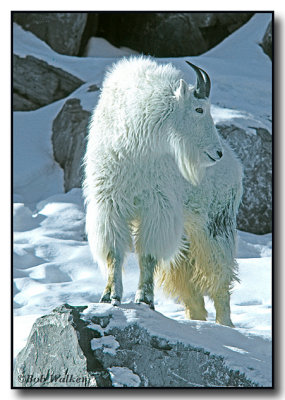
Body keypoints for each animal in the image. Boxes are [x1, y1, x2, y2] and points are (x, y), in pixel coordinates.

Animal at [82, 56, 242, 326]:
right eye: (199, 109)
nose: (217, 152)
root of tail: (236, 169)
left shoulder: (157, 206)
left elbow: (147, 254)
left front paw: (144, 299)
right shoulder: (110, 203)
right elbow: (114, 252)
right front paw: (110, 296)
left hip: (214, 229)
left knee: (220, 280)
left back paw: (225, 325)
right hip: (186, 240)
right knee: (192, 294)